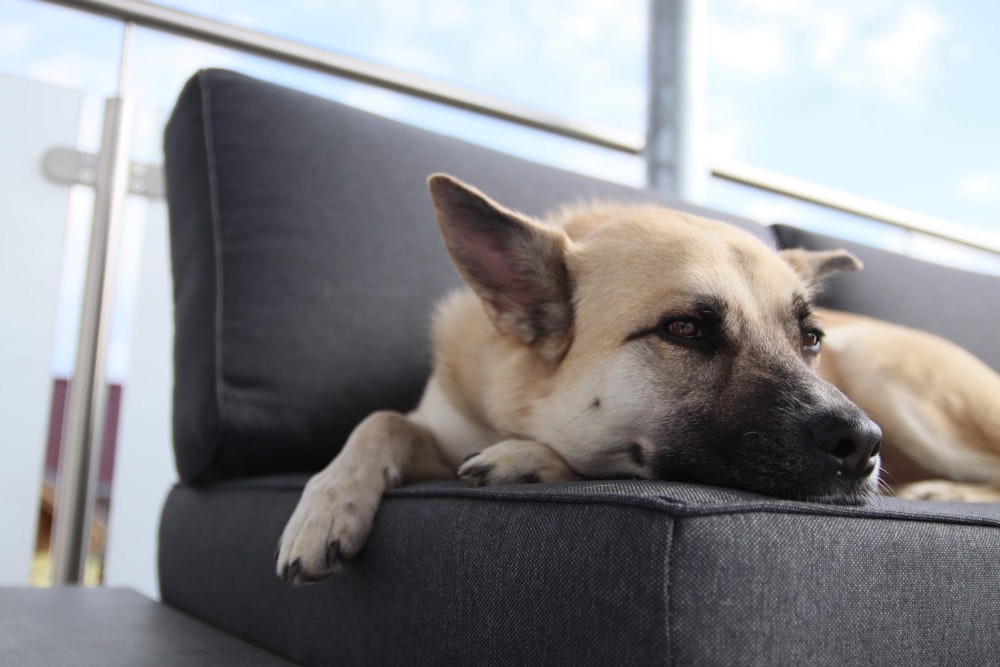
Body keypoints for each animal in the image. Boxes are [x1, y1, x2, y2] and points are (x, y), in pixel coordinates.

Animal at [276, 174, 1000, 584]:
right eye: (685, 328)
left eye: (810, 338)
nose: (864, 445)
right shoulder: (436, 426)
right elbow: (382, 420)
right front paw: (327, 504)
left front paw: (530, 460)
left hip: (893, 380)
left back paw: (944, 489)